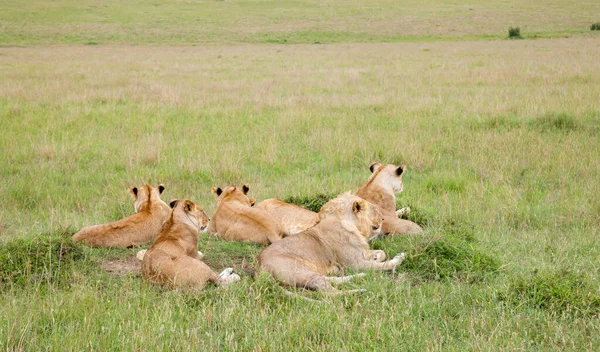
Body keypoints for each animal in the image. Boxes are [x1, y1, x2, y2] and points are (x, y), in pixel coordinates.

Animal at [255, 192, 406, 292]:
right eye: (374, 210)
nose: (383, 219)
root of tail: (260, 268)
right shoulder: (354, 263)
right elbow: (384, 265)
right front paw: (398, 258)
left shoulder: (360, 252)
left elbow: (382, 252)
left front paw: (376, 257)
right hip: (301, 270)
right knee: (329, 293)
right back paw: (360, 290)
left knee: (330, 280)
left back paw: (358, 277)